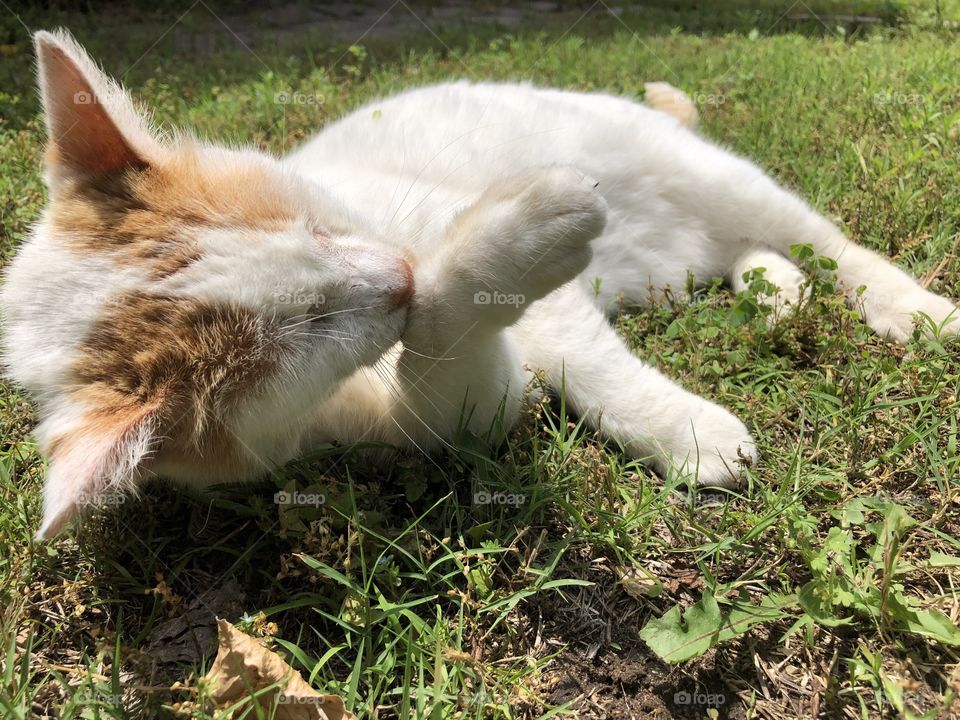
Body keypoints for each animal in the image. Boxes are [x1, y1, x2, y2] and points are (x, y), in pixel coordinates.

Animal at [3, 32, 956, 540]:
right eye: (304, 332)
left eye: (311, 225)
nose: (394, 273)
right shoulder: (448, 417)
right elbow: (448, 350)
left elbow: (574, 355)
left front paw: (683, 428)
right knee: (762, 254)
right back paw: (774, 295)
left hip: (709, 174)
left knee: (828, 242)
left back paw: (916, 312)